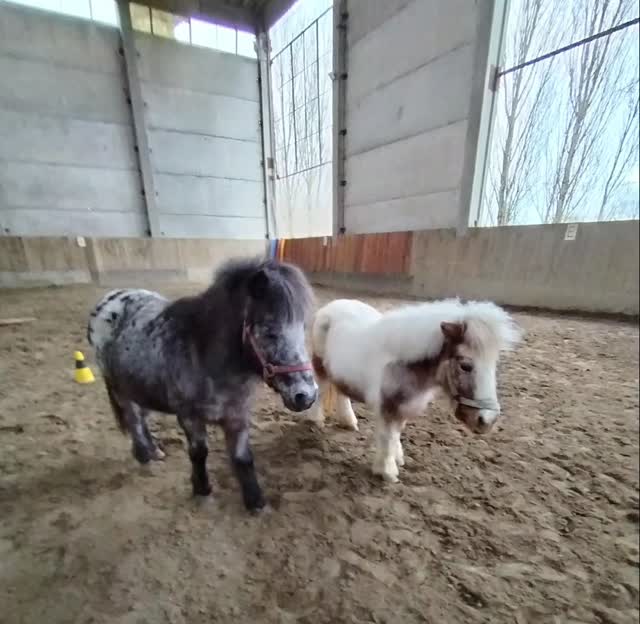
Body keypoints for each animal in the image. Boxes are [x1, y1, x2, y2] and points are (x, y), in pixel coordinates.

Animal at [87, 257, 317, 512]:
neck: (205, 358)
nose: (306, 396)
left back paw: (154, 451)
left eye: (303, 329)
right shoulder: (189, 417)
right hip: (120, 388)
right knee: (133, 418)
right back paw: (144, 455)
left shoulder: (238, 416)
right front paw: (201, 488)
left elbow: (243, 457)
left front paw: (255, 501)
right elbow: (199, 452)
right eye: (270, 331)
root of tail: (109, 300)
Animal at [309, 297, 521, 483]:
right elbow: (387, 436)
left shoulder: (403, 406)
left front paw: (397, 458)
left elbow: (396, 433)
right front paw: (387, 471)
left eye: (494, 364)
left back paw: (348, 421)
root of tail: (332, 306)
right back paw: (316, 420)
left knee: (341, 392)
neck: (403, 364)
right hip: (320, 366)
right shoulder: (387, 407)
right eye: (465, 366)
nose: (487, 421)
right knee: (321, 389)